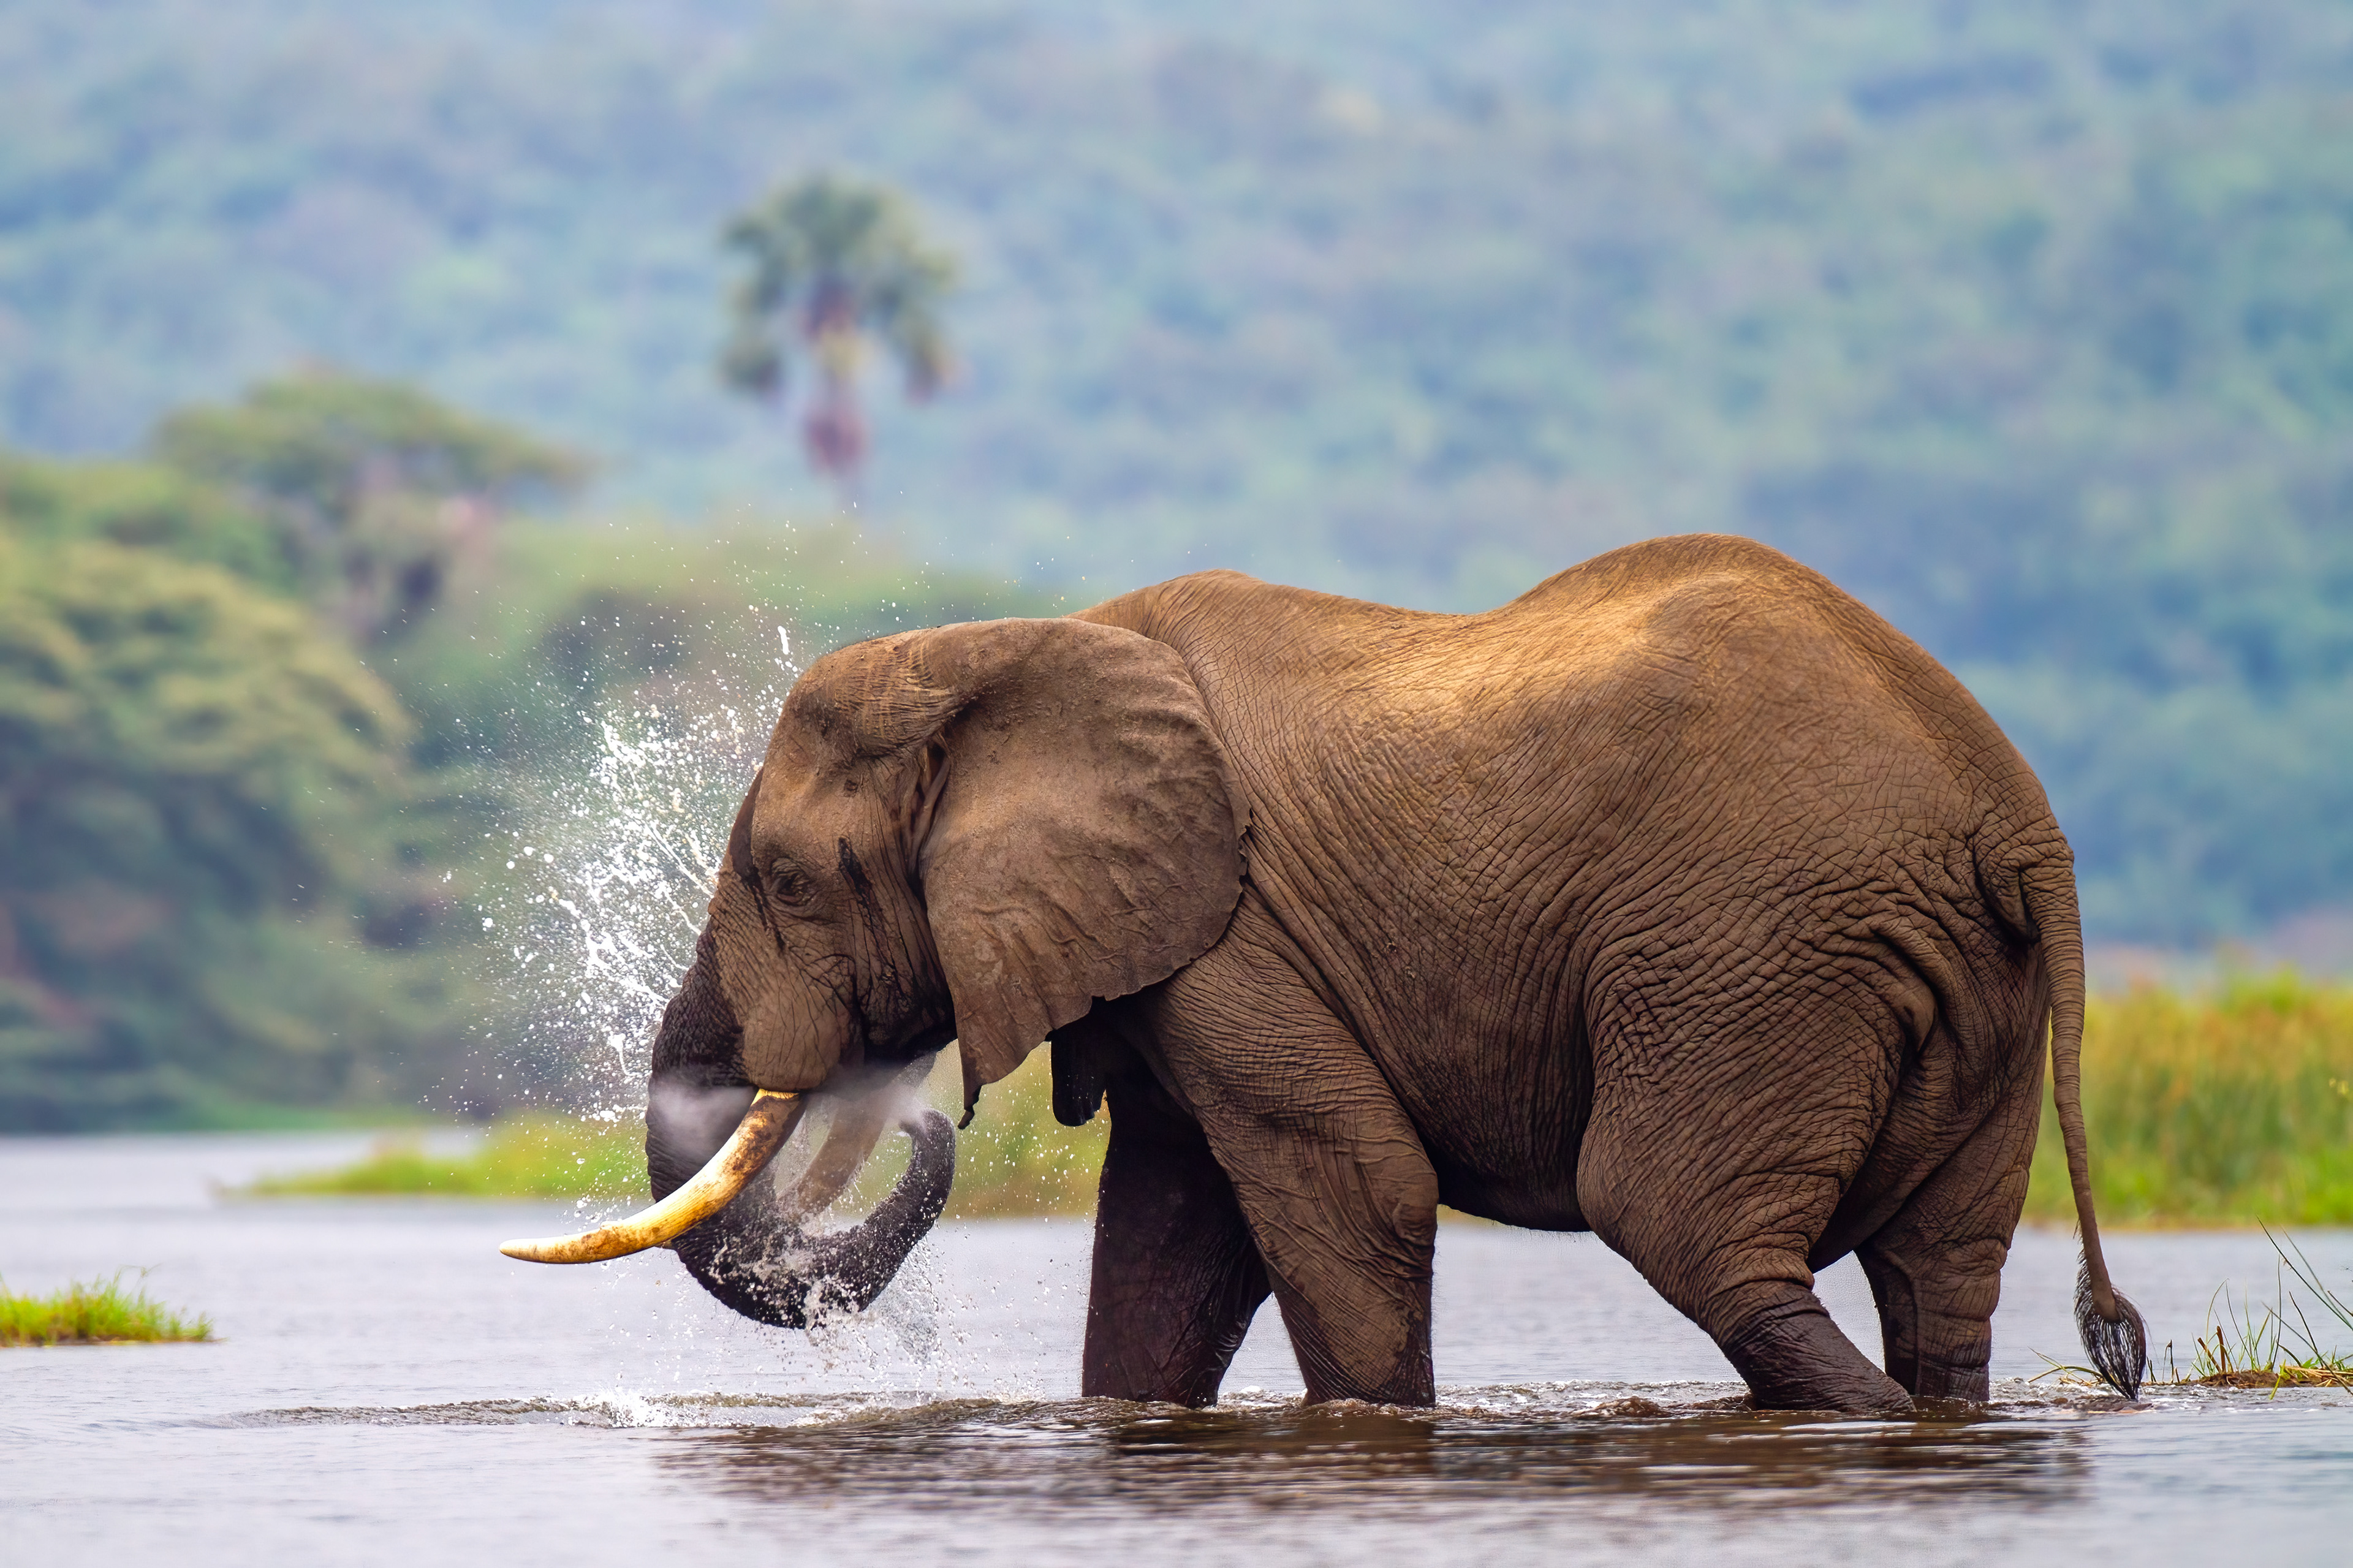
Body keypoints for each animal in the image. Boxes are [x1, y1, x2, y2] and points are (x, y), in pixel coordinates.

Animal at [503, 533, 2147, 1414]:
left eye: (788, 880)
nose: (910, 1112)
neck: (1025, 646)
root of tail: (2011, 814)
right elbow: (1173, 1227)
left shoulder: (1236, 924)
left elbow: (1348, 1186)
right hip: (1955, 988)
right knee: (1942, 1269)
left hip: (1748, 952)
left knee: (1678, 1222)